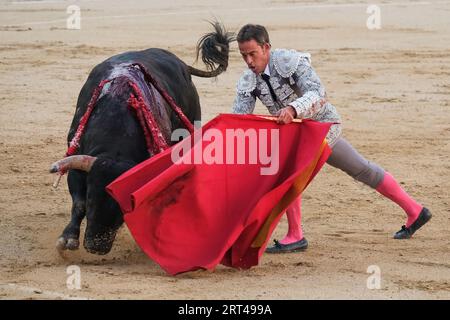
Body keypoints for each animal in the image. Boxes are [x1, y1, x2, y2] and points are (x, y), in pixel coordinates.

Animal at [50, 23, 236, 255]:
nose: (96, 246)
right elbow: (78, 203)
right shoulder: (76, 157)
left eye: (124, 208)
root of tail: (180, 63)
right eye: (92, 196)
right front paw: (67, 239)